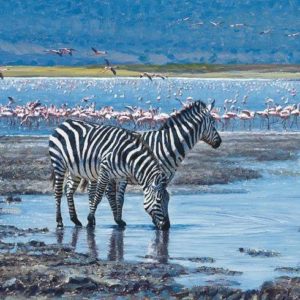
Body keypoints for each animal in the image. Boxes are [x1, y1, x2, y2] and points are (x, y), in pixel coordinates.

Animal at [64, 99, 221, 226]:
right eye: (213, 123)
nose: (219, 142)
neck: (166, 144)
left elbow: (163, 196)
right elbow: (155, 196)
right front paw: (158, 221)